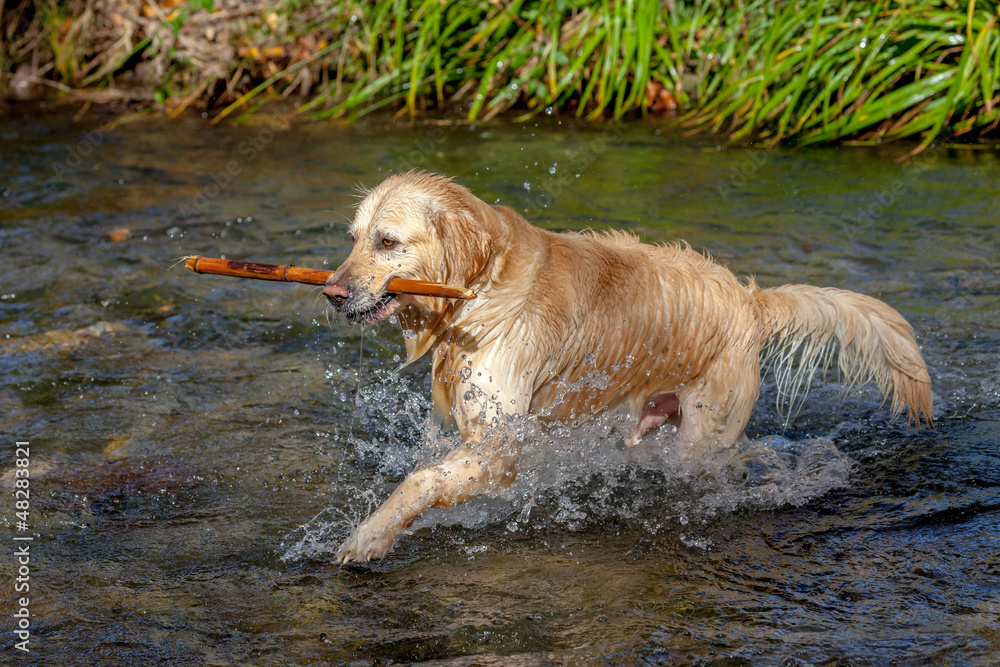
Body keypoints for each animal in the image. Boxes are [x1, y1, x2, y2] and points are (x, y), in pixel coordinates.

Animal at [324, 170, 932, 560]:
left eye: (387, 241)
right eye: (353, 239)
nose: (331, 292)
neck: (480, 288)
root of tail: (749, 300)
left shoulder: (500, 445)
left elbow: (421, 481)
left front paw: (368, 536)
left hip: (701, 440)